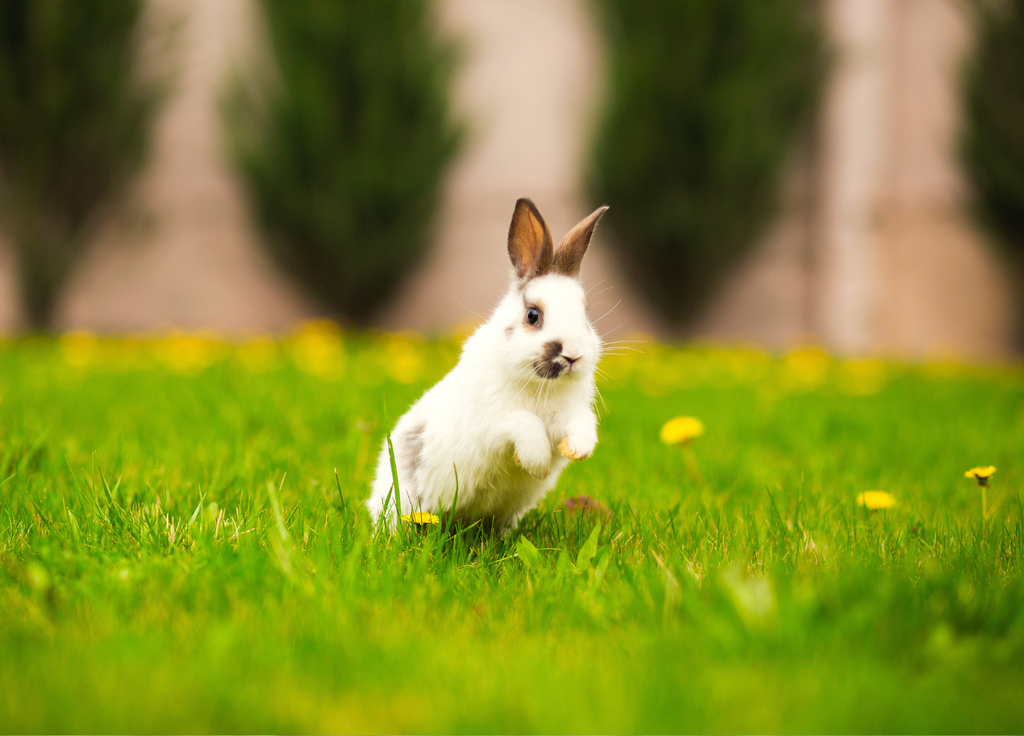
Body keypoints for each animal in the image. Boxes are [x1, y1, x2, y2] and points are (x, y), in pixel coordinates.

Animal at [366, 198, 606, 532]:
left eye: (585, 316)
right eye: (533, 315)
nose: (573, 356)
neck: (539, 386)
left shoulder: (568, 414)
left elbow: (581, 425)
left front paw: (578, 450)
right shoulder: (494, 421)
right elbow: (524, 423)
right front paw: (537, 462)